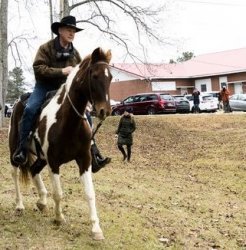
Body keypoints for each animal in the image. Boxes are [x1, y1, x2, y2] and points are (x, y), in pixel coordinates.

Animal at [8, 47, 112, 240]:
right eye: (94, 76)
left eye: (111, 77)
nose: (105, 111)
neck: (68, 122)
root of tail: (19, 101)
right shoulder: (54, 162)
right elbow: (58, 193)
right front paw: (59, 218)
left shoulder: (84, 160)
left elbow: (90, 193)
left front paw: (96, 229)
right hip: (14, 151)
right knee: (15, 174)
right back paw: (19, 205)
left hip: (41, 158)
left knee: (33, 170)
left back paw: (42, 201)